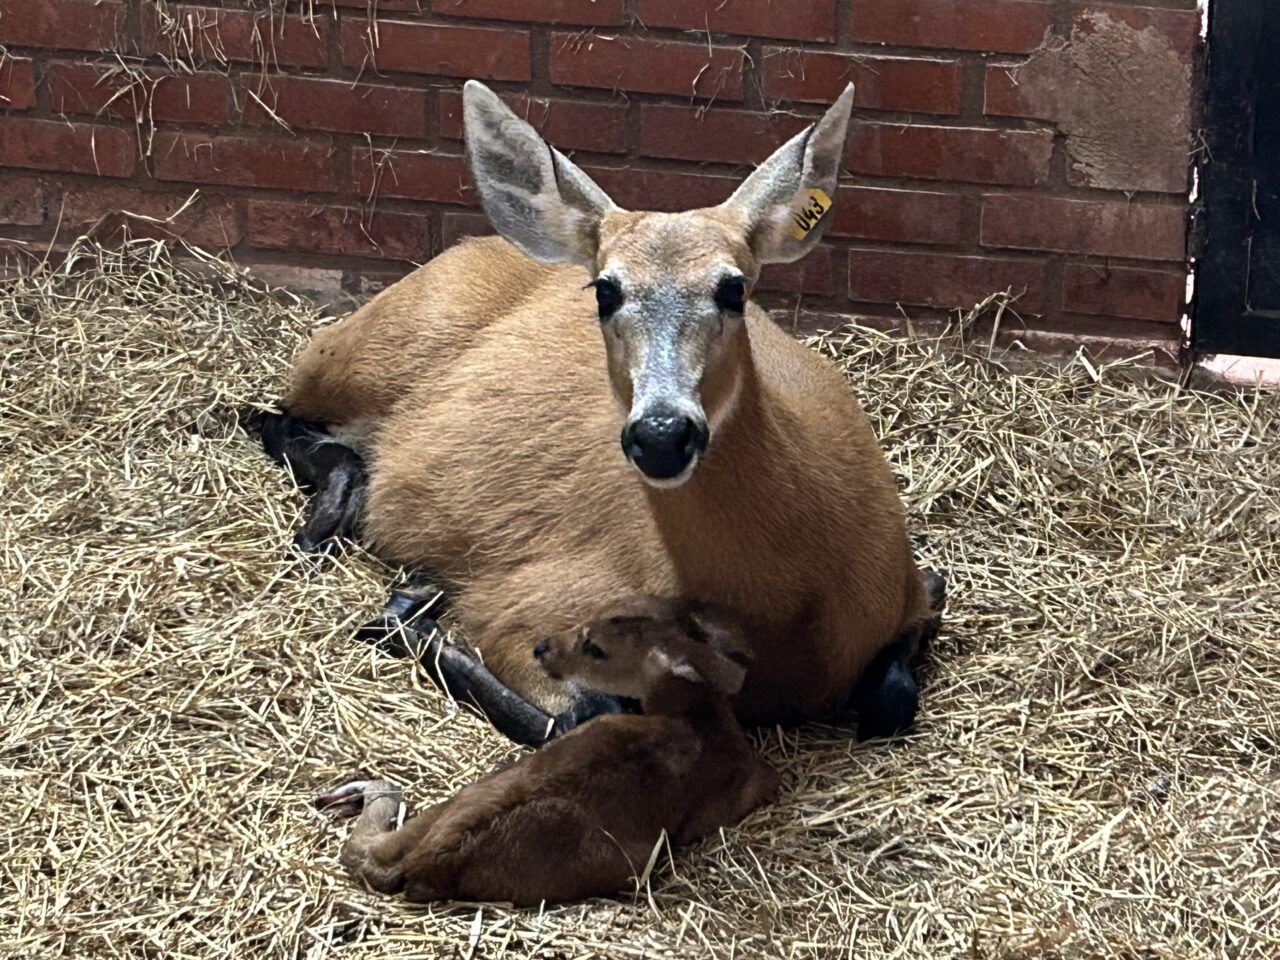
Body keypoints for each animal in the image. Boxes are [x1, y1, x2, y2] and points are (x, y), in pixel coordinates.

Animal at [262, 80, 942, 742]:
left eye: (734, 288)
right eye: (606, 290)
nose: (662, 434)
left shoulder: (913, 589)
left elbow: (893, 696)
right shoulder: (523, 604)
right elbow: (582, 714)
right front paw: (410, 611)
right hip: (363, 355)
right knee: (274, 413)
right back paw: (335, 535)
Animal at [320, 601, 778, 911]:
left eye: (596, 647)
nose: (542, 647)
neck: (698, 718)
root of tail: (431, 857)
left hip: (475, 789)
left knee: (370, 845)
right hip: (626, 862)